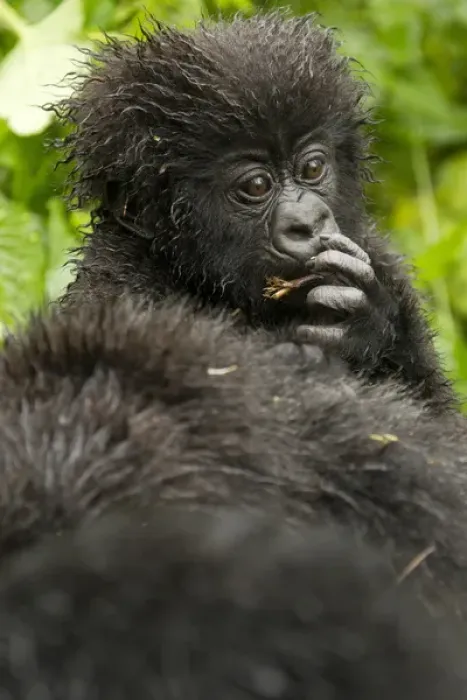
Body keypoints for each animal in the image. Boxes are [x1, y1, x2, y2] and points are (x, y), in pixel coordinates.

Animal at [53, 12, 454, 411]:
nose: (308, 224)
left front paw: (367, 320)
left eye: (312, 168)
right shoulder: (115, 293)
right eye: (257, 186)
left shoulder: (381, 259)